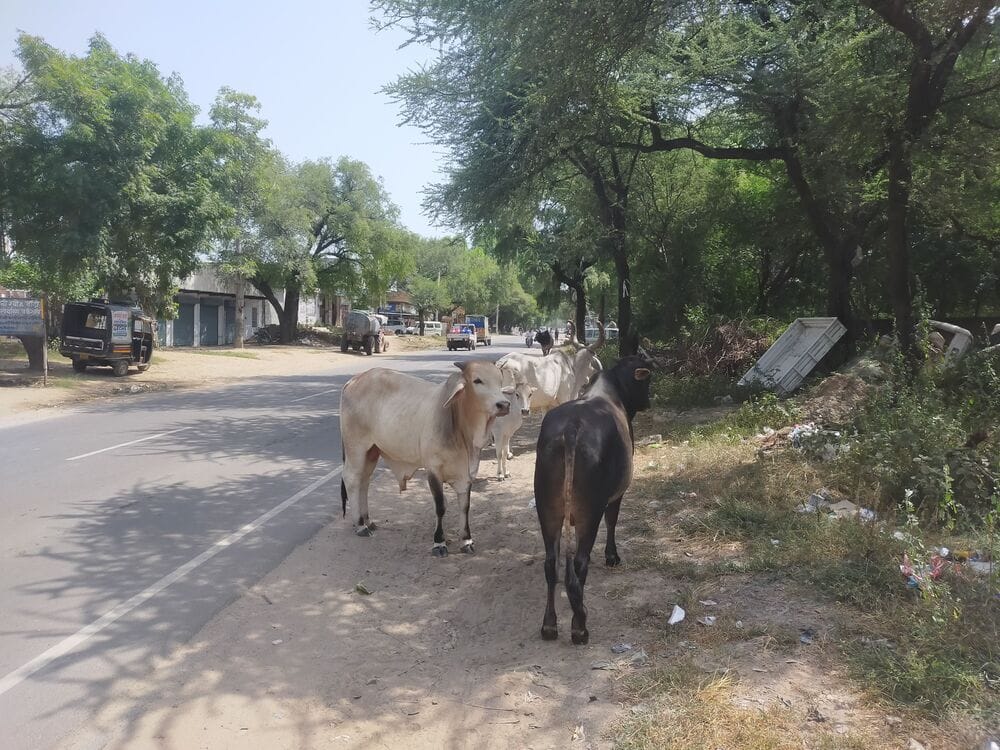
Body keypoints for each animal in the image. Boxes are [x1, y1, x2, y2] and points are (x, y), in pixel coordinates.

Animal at [339, 361, 512, 556]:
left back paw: (367, 520)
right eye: (477, 380)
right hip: (356, 448)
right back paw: (360, 525)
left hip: (372, 451)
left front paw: (467, 540)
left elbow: (465, 506)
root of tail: (354, 380)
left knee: (364, 481)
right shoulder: (433, 470)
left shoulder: (466, 473)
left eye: (500, 380)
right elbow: (440, 506)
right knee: (352, 479)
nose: (504, 404)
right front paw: (439, 542)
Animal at [533, 354, 653, 644]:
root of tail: (571, 428)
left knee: (551, 564)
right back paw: (579, 627)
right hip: (590, 510)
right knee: (579, 563)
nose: (648, 401)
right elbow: (613, 521)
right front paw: (612, 556)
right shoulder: (617, 494)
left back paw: (549, 625)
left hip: (546, 508)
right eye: (647, 377)